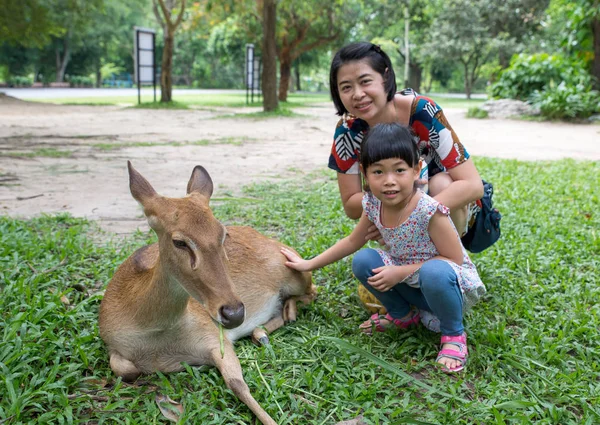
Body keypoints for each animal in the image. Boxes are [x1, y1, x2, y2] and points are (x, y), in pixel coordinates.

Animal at [99, 161, 314, 424]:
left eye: (222, 233)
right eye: (179, 242)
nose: (235, 313)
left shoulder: (214, 336)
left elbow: (238, 385)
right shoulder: (113, 344)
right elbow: (125, 369)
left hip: (297, 275)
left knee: (311, 292)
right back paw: (261, 332)